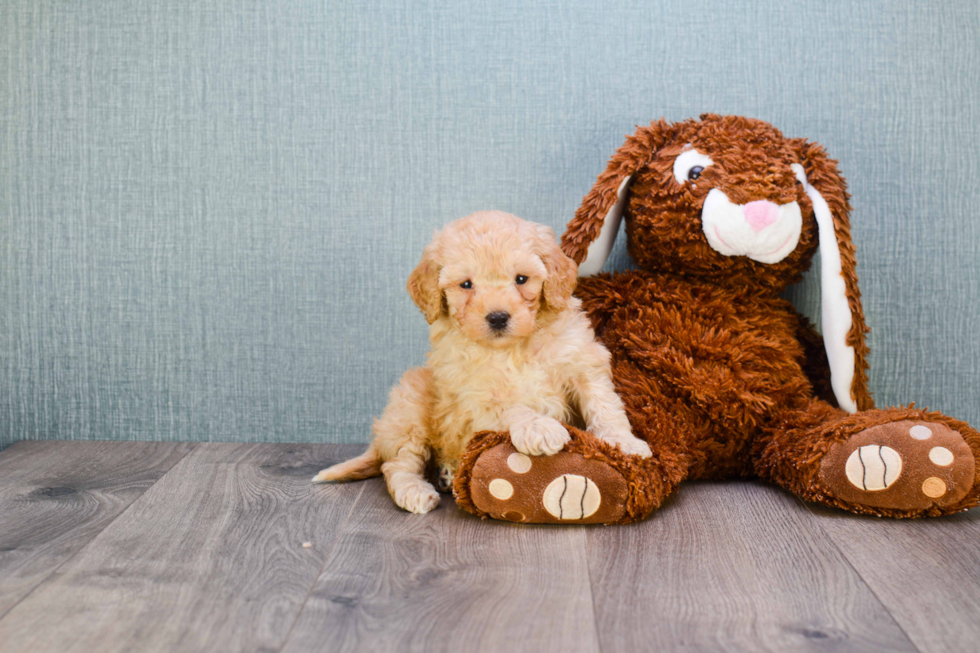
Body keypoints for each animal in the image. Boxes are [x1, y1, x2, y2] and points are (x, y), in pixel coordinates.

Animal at [314, 211, 652, 512]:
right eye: (466, 284)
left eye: (521, 279)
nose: (498, 317)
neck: (512, 349)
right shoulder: (474, 396)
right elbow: (512, 406)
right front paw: (540, 428)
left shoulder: (582, 363)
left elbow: (604, 405)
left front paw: (626, 442)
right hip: (411, 406)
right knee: (398, 464)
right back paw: (416, 491)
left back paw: (447, 473)